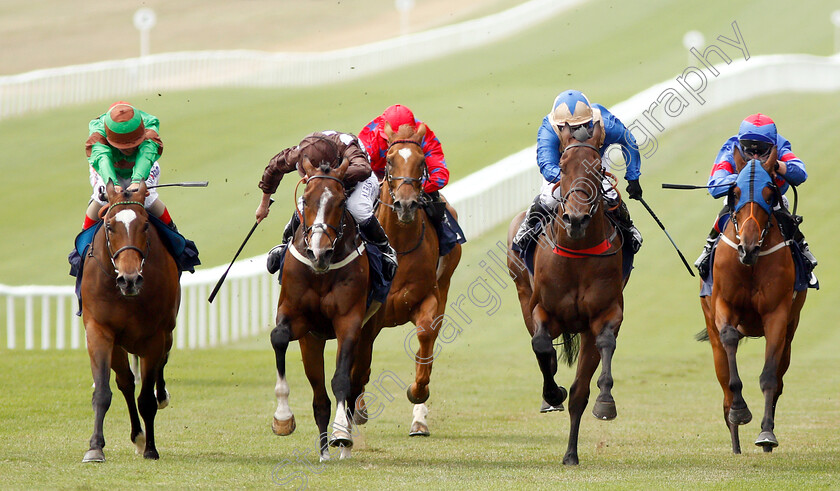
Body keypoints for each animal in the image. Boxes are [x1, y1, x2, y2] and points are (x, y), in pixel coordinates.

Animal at [80, 180, 179, 462]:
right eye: (109, 226)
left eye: (145, 225)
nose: (130, 279)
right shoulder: (99, 330)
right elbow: (103, 392)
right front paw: (95, 447)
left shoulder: (154, 336)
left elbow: (146, 399)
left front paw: (151, 449)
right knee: (124, 382)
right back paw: (137, 435)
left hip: (166, 333)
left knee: (161, 365)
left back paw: (161, 397)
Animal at [270, 153, 372, 462]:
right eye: (305, 199)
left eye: (340, 201)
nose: (319, 252)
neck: (321, 273)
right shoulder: (299, 320)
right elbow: (278, 337)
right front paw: (282, 417)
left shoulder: (349, 322)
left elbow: (341, 381)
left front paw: (342, 434)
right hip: (311, 342)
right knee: (319, 398)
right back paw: (324, 451)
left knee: (354, 383)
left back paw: (342, 443)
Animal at [352, 123, 462, 438]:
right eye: (389, 161)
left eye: (422, 161)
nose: (406, 204)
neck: (398, 245)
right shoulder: (371, 309)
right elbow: (360, 358)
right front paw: (357, 410)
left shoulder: (428, 297)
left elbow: (425, 336)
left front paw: (418, 392)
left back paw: (419, 420)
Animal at [502, 125, 628, 468]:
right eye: (563, 166)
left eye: (597, 169)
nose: (576, 219)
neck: (578, 251)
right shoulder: (542, 310)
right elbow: (541, 345)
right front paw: (552, 393)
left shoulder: (605, 313)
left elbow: (604, 346)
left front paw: (605, 401)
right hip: (522, 291)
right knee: (541, 349)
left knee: (579, 392)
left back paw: (571, 453)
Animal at [696, 148, 808, 456]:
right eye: (734, 192)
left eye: (769, 194)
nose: (747, 248)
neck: (750, 265)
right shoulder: (723, 305)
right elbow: (729, 340)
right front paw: (739, 410)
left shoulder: (777, 315)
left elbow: (769, 376)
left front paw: (766, 433)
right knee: (723, 380)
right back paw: (735, 439)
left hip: (791, 333)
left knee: (779, 378)